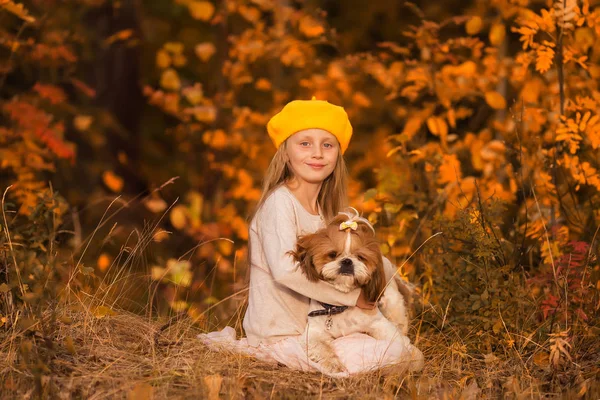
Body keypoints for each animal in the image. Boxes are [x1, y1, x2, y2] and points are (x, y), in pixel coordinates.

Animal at [288, 208, 420, 374]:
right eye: (332, 254)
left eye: (360, 257)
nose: (347, 261)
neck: (340, 308)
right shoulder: (313, 333)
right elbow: (322, 347)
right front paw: (333, 363)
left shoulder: (381, 324)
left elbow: (399, 344)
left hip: (393, 305)